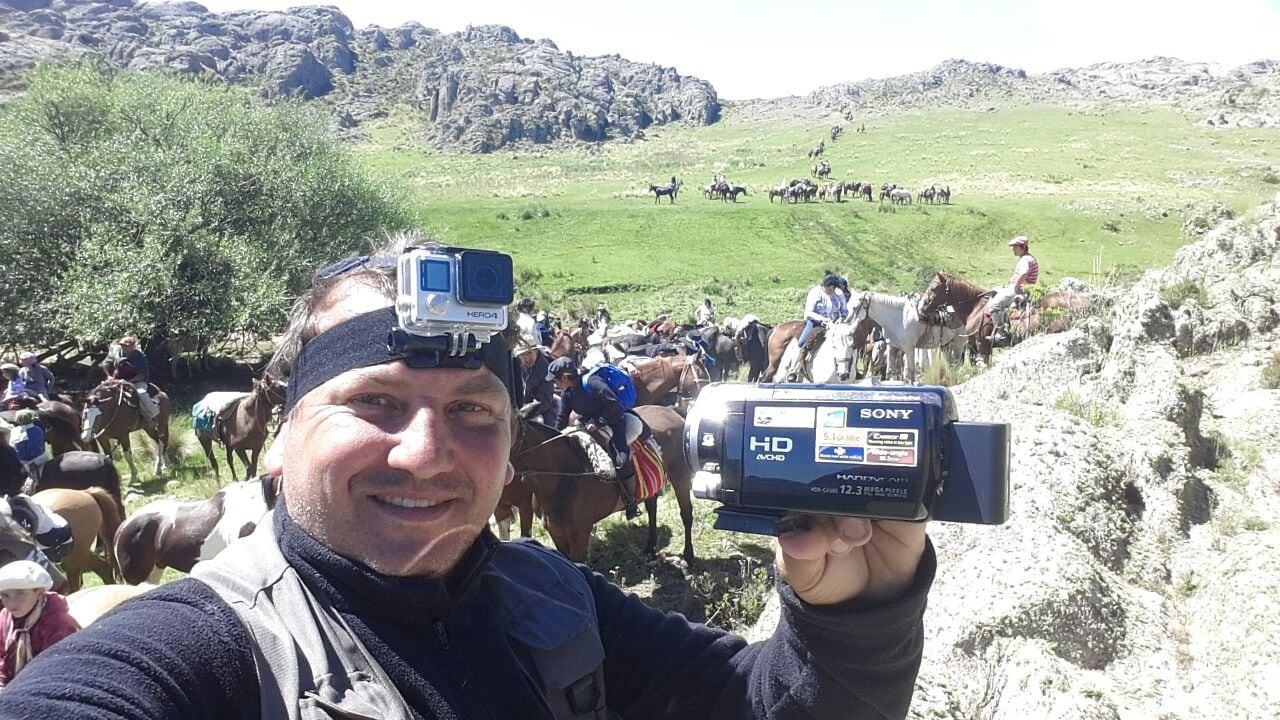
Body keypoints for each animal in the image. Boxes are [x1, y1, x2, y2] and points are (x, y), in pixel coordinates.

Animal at [504, 404, 696, 561]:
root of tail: (671, 410)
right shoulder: (555, 533)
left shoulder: (581, 533)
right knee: (652, 508)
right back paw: (650, 548)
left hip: (680, 477)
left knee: (686, 513)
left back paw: (687, 556)